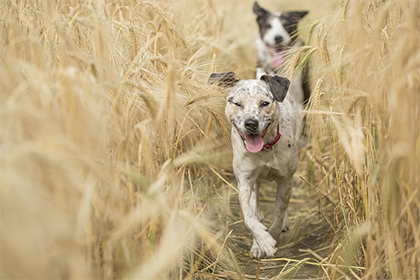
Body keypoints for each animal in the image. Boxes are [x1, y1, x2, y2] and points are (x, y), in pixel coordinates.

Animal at [208, 71, 302, 258]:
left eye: (265, 103)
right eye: (237, 103)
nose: (251, 123)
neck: (264, 149)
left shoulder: (285, 180)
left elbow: (279, 213)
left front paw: (271, 236)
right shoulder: (245, 181)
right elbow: (248, 216)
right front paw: (261, 241)